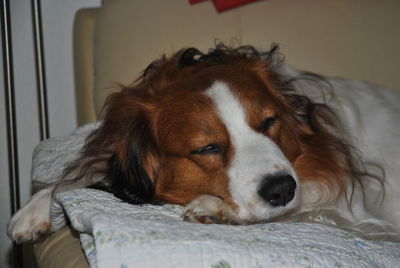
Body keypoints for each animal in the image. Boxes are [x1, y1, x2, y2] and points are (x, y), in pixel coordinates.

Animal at [7, 45, 400, 242]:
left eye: (268, 122)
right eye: (208, 148)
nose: (282, 189)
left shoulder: (352, 209)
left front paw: (216, 206)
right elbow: (83, 171)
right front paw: (34, 209)